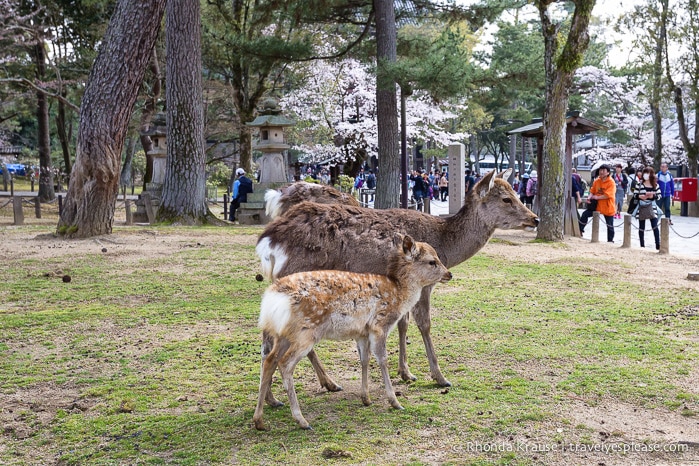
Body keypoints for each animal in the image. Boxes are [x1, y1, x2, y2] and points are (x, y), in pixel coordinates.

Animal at [260, 170, 540, 400]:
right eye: (506, 199)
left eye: (515, 193)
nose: (535, 219)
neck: (444, 243)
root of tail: (269, 240)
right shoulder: (424, 284)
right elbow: (424, 324)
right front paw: (439, 377)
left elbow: (403, 323)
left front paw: (406, 372)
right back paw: (315, 385)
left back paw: (289, 393)